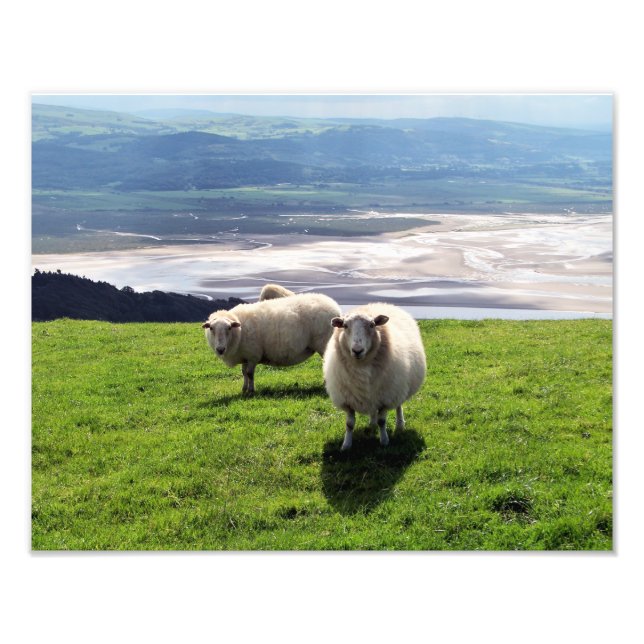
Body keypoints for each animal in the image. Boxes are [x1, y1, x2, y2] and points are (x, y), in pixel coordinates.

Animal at [203, 293, 341, 394]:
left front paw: (251, 391)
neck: (239, 332)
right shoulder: (245, 355)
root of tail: (334, 306)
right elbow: (244, 373)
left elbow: (250, 374)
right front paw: (244, 389)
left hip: (323, 344)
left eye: (229, 328)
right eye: (211, 328)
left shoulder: (253, 355)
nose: (220, 349)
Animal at [322, 303, 426, 450]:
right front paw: (346, 445)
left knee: (398, 406)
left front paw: (384, 441)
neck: (361, 366)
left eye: (372, 325)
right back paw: (372, 423)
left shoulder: (386, 397)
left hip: (398, 387)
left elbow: (382, 421)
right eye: (345, 325)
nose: (357, 350)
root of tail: (380, 304)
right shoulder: (347, 400)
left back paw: (400, 425)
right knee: (372, 409)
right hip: (373, 393)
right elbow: (349, 424)